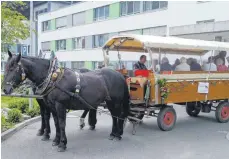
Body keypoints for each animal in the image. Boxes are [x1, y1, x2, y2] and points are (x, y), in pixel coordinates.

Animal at [2, 51, 130, 152]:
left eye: (13, 68)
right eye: (6, 67)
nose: (5, 89)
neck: (53, 79)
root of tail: (119, 75)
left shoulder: (60, 105)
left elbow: (62, 123)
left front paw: (62, 143)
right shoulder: (51, 106)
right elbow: (55, 122)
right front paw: (56, 140)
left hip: (116, 102)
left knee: (118, 116)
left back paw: (117, 134)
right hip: (109, 102)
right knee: (113, 116)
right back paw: (113, 133)